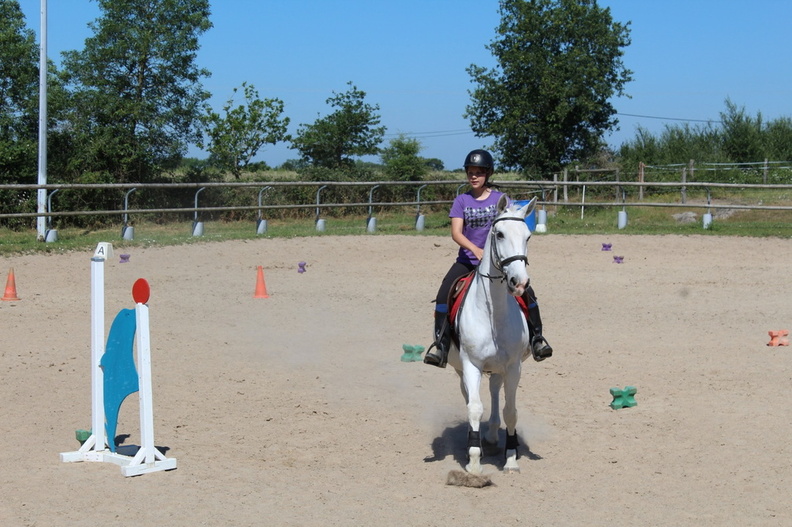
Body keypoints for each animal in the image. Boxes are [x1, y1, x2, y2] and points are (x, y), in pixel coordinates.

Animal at [448, 196, 536, 476]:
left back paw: (493, 435)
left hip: (499, 367)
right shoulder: (471, 365)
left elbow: (510, 411)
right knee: (469, 397)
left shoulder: (514, 366)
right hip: (461, 369)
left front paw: (511, 459)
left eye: (528, 236)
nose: (520, 283)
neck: (493, 313)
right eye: (499, 234)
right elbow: (474, 408)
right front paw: (474, 461)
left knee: (495, 390)